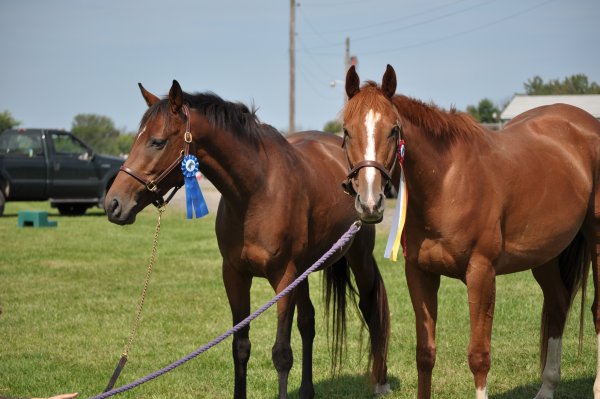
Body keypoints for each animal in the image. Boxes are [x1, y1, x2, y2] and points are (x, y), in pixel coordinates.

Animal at [104, 79, 394, 398]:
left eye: (157, 141)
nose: (113, 204)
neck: (257, 192)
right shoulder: (235, 275)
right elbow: (240, 346)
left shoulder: (283, 278)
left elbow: (282, 353)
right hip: (304, 272)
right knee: (308, 322)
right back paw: (307, 390)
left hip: (358, 258)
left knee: (371, 307)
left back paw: (379, 382)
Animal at [340, 64, 600, 398]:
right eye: (347, 131)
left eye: (394, 130)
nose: (369, 202)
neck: (447, 182)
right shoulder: (420, 274)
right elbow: (425, 354)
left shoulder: (481, 274)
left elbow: (478, 356)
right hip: (545, 254)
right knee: (557, 303)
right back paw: (547, 387)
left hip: (596, 240)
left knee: (596, 311)